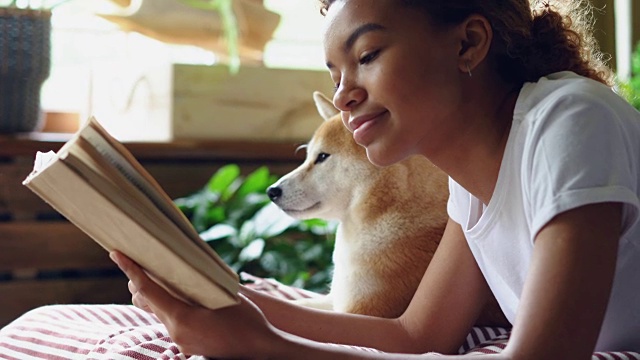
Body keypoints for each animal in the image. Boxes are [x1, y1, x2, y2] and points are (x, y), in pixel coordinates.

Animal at [268, 92, 448, 318]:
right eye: (308, 156)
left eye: (322, 156)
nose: (271, 191)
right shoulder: (334, 299)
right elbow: (297, 302)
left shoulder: (362, 310)